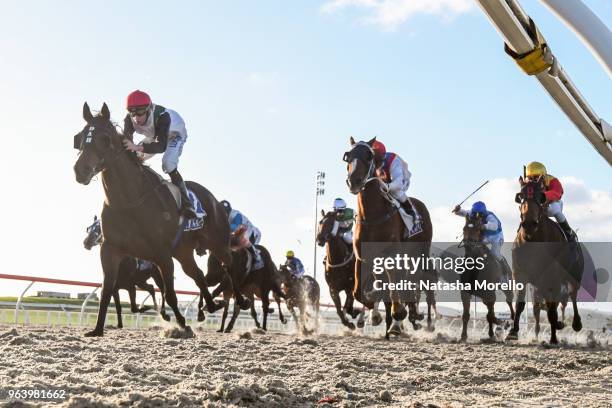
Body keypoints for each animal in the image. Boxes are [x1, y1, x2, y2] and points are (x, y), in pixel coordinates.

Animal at [73, 103, 249, 338]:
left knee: (228, 267)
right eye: (81, 137)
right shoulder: (110, 249)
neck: (128, 201)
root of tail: (217, 202)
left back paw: (239, 300)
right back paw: (210, 306)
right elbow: (107, 289)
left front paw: (182, 325)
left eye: (105, 138)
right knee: (197, 274)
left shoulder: (162, 254)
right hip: (183, 252)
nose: (80, 170)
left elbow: (170, 294)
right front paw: (98, 329)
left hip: (217, 243)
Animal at [344, 137, 436, 338]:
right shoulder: (362, 258)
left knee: (420, 280)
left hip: (420, 252)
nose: (353, 181)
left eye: (368, 156)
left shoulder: (392, 256)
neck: (373, 217)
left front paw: (398, 314)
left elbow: (395, 288)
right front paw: (373, 312)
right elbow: (358, 292)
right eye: (348, 156)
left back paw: (417, 319)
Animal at [462, 210, 512, 342]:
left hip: (507, 286)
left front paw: (503, 323)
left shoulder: (490, 293)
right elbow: (466, 314)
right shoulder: (465, 291)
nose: (469, 244)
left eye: (478, 229)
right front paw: (463, 336)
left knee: (509, 301)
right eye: (464, 229)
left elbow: (490, 315)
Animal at [506, 177, 584, 342]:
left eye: (541, 196)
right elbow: (520, 304)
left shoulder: (551, 277)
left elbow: (552, 308)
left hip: (574, 275)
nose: (529, 223)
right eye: (520, 196)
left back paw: (575, 323)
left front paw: (554, 337)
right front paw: (513, 331)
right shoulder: (520, 274)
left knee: (572, 296)